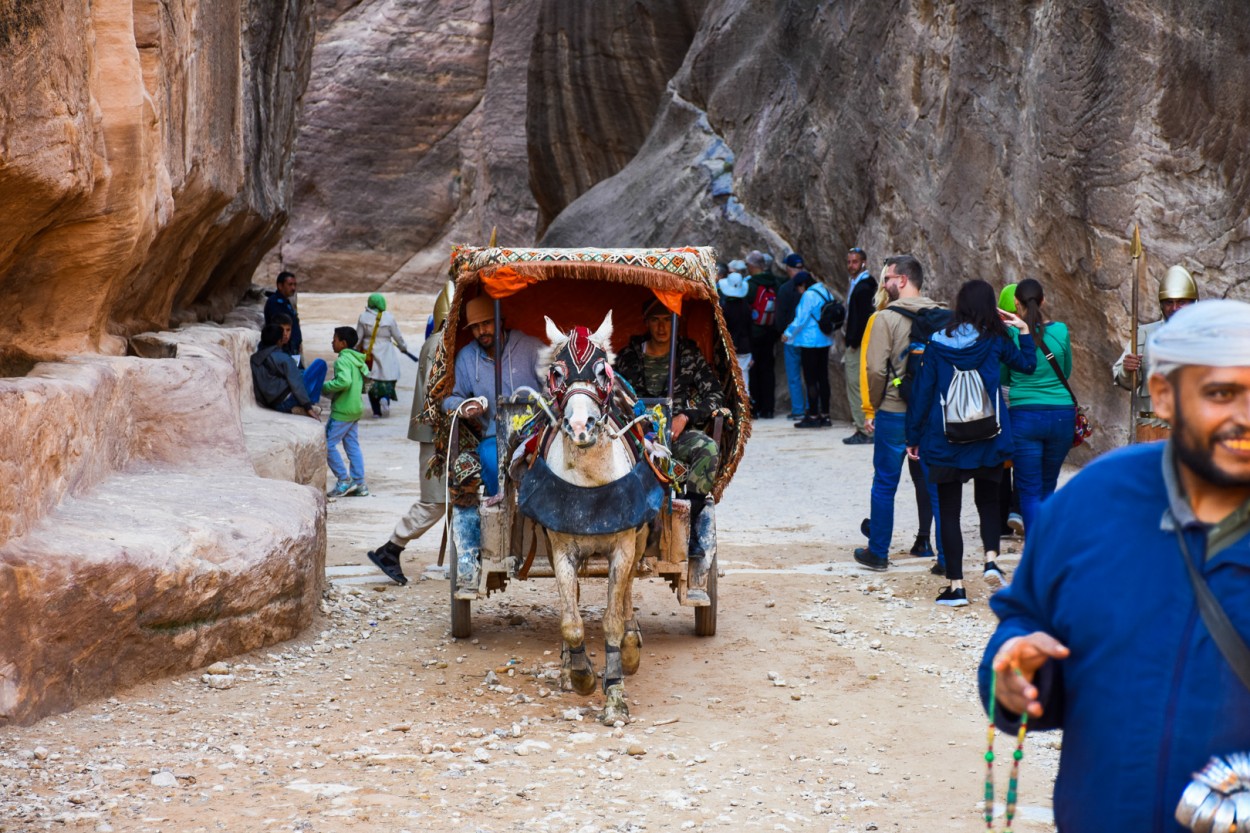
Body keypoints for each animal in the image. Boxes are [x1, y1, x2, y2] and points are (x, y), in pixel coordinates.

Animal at [532, 311, 650, 720]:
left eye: (602, 371)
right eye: (556, 373)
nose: (580, 427)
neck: (590, 483)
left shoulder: (624, 547)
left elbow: (613, 618)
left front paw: (615, 692)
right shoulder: (561, 549)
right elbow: (571, 621)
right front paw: (580, 675)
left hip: (640, 540)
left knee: (627, 591)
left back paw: (631, 644)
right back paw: (569, 669)